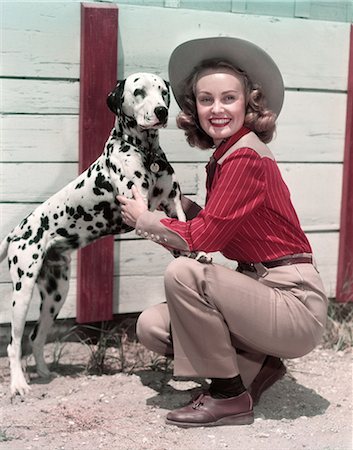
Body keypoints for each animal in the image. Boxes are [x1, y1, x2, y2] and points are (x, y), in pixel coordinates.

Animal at [0, 73, 209, 398]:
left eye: (163, 92)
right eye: (139, 91)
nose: (161, 111)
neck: (145, 152)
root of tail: (16, 232)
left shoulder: (173, 203)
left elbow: (182, 231)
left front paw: (196, 256)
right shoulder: (141, 211)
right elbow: (168, 234)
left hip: (56, 295)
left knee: (36, 337)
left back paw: (44, 372)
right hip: (23, 291)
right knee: (14, 343)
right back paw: (19, 384)